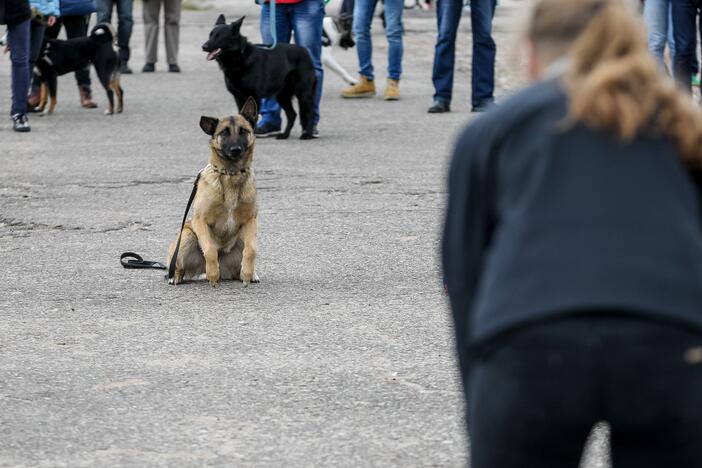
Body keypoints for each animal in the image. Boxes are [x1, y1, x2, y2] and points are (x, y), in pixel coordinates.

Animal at [168, 98, 262, 286]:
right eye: (224, 132)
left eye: (243, 131)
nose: (235, 150)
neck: (231, 174)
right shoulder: (201, 221)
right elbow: (210, 249)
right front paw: (212, 274)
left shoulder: (250, 221)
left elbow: (251, 250)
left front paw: (248, 273)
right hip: (186, 235)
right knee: (180, 266)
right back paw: (177, 276)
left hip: (240, 238)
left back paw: (246, 274)